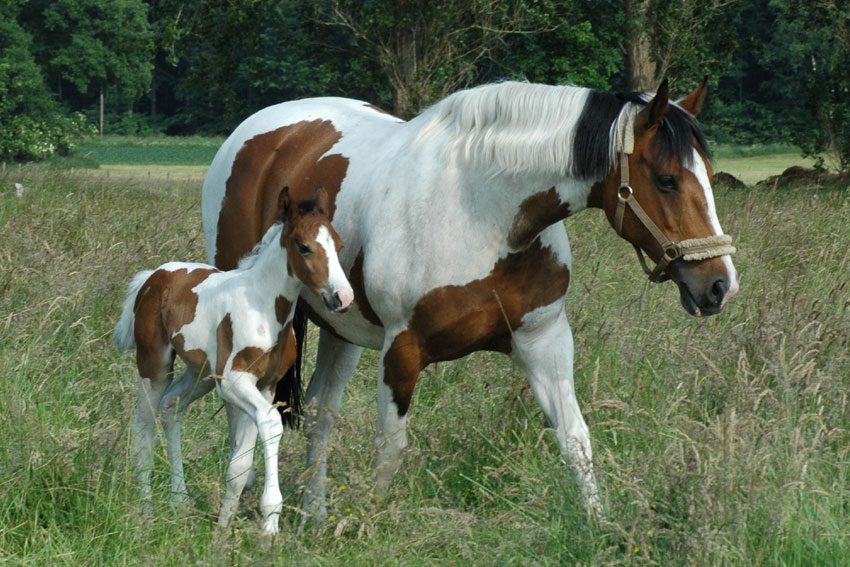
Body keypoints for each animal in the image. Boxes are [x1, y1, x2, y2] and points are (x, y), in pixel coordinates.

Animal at [112, 189, 352, 536]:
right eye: (304, 246)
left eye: (339, 245)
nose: (343, 297)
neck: (263, 306)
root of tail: (153, 276)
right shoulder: (234, 382)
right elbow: (271, 424)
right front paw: (269, 526)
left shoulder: (264, 386)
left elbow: (240, 463)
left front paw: (224, 527)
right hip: (153, 366)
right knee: (143, 431)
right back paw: (146, 512)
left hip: (198, 373)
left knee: (172, 407)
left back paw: (180, 502)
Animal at [199, 79, 736, 520]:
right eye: (666, 179)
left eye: (711, 175)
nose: (719, 285)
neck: (483, 213)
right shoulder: (402, 351)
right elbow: (390, 449)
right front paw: (367, 524)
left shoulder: (544, 340)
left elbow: (575, 440)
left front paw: (601, 527)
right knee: (244, 420)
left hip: (340, 331)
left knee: (318, 415)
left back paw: (315, 514)